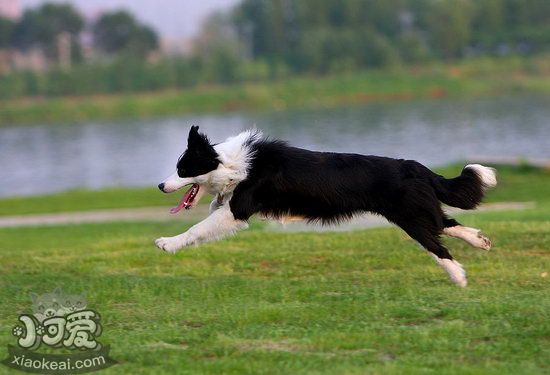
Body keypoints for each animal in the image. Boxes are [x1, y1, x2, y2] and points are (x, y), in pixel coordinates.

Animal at [157, 126, 498, 288]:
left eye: (182, 169)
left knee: (438, 245)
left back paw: (459, 277)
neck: (230, 163)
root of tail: (414, 166)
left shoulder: (238, 209)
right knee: (447, 223)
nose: (160, 185)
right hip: (418, 211)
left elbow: (197, 228)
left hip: (410, 217)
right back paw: (479, 241)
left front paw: (167, 243)